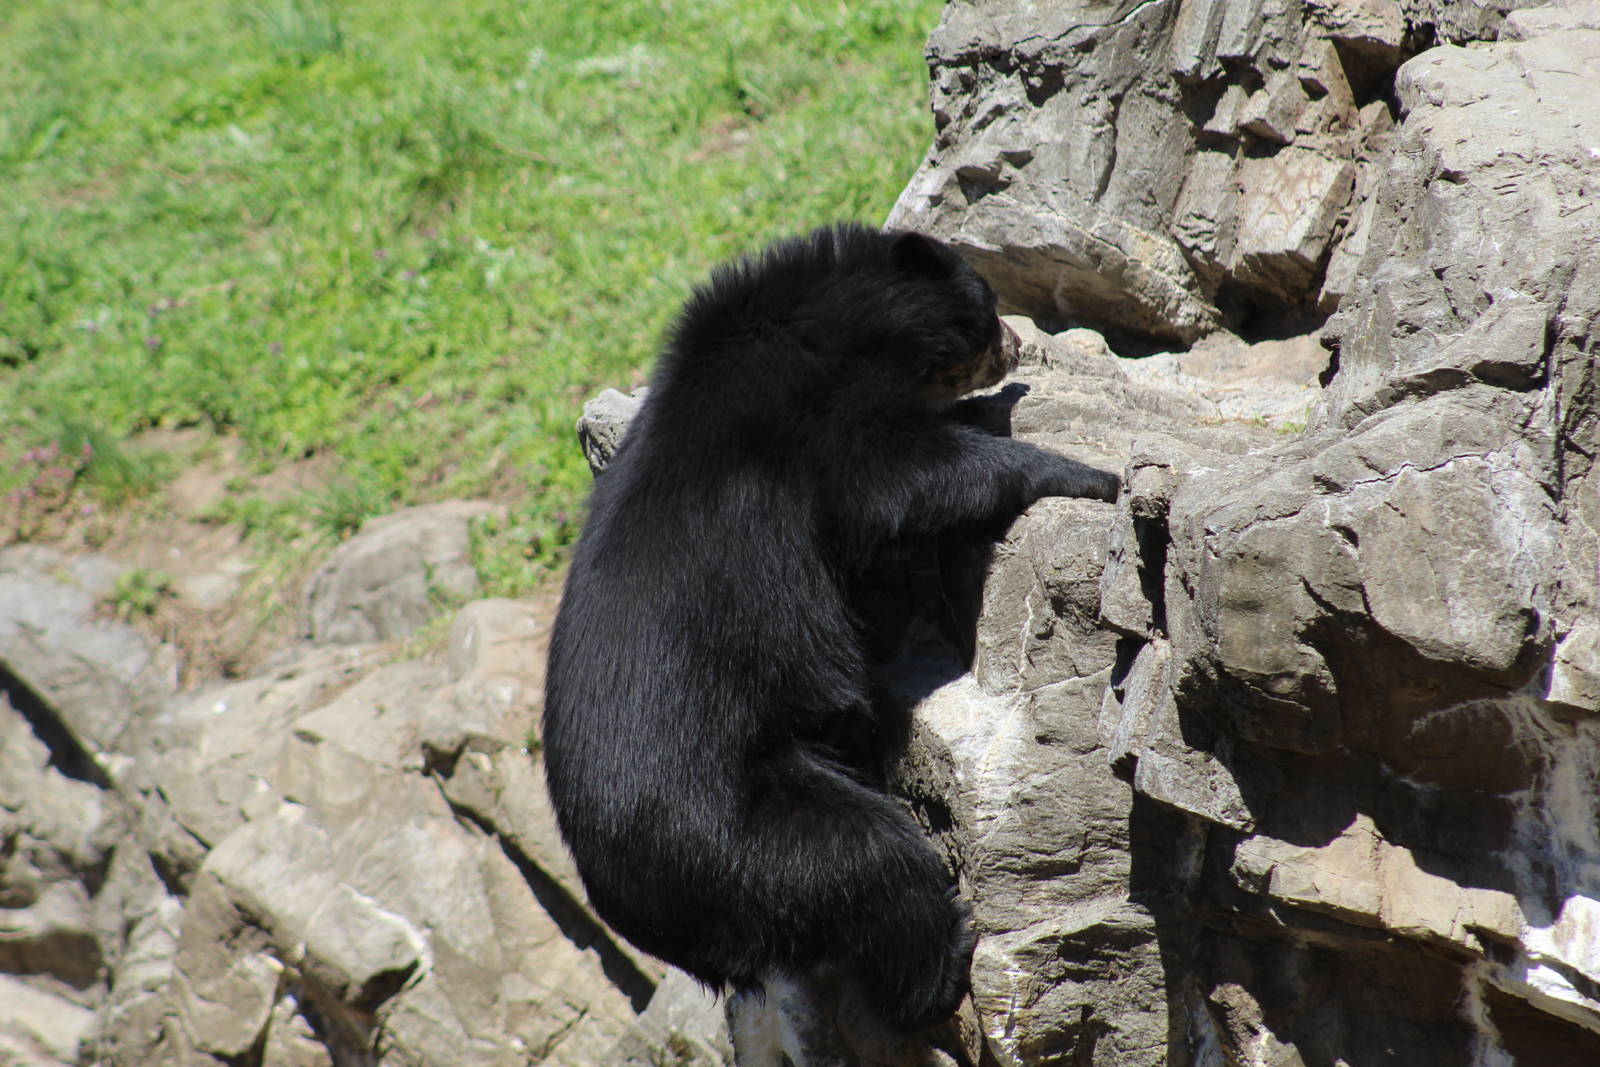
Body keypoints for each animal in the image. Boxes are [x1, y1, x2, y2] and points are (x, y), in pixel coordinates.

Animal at [542, 222, 1120, 1031]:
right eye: (987, 304)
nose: (1017, 347)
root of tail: (639, 912)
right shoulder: (812, 427)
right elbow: (905, 473)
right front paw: (1089, 473)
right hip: (739, 830)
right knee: (868, 860)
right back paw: (945, 961)